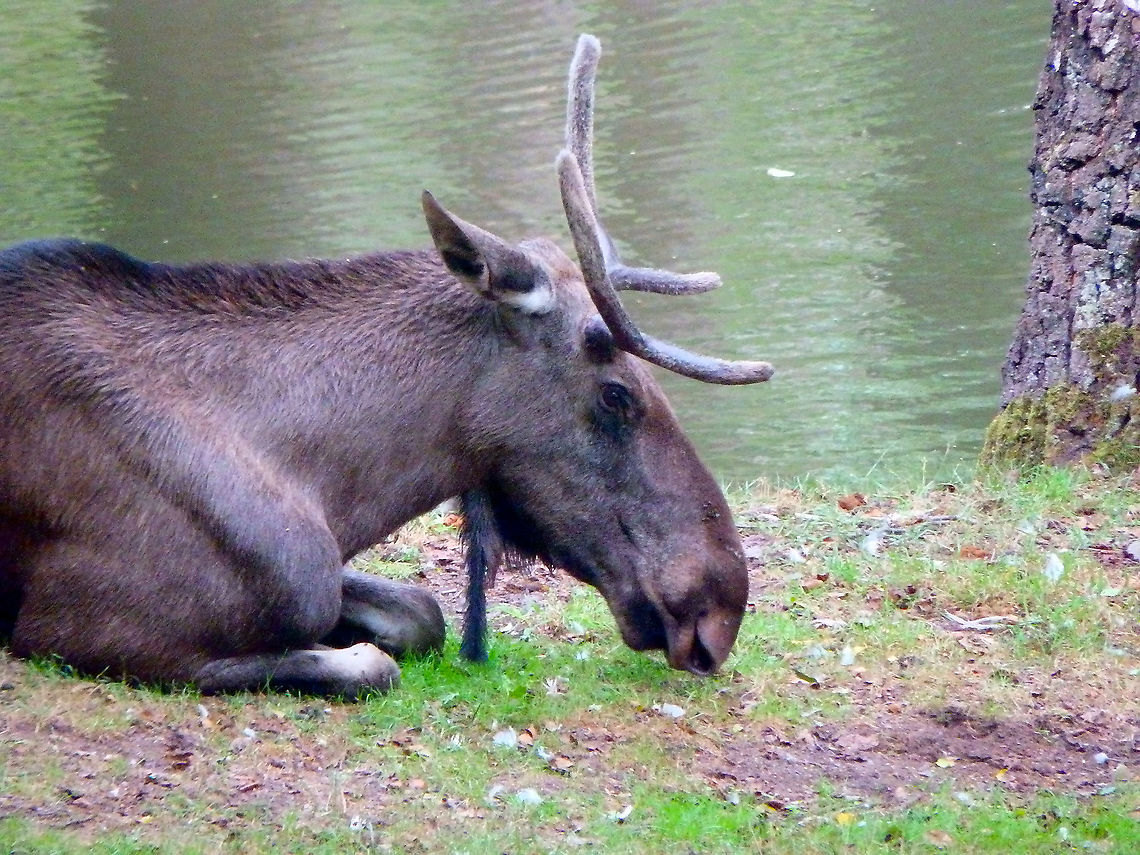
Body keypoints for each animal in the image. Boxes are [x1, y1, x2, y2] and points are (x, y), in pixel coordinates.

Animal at [0, 35, 772, 697]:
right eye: (616, 395)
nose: (720, 603)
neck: (322, 491)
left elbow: (421, 613)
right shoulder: (80, 627)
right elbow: (370, 664)